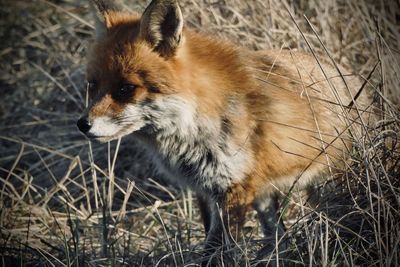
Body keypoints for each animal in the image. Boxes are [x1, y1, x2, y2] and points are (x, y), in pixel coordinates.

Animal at [78, 0, 372, 262]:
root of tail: (349, 74)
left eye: (126, 89)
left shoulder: (234, 189)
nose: (83, 124)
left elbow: (217, 251)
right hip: (264, 196)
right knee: (279, 237)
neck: (193, 121)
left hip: (328, 187)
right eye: (92, 85)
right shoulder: (206, 190)